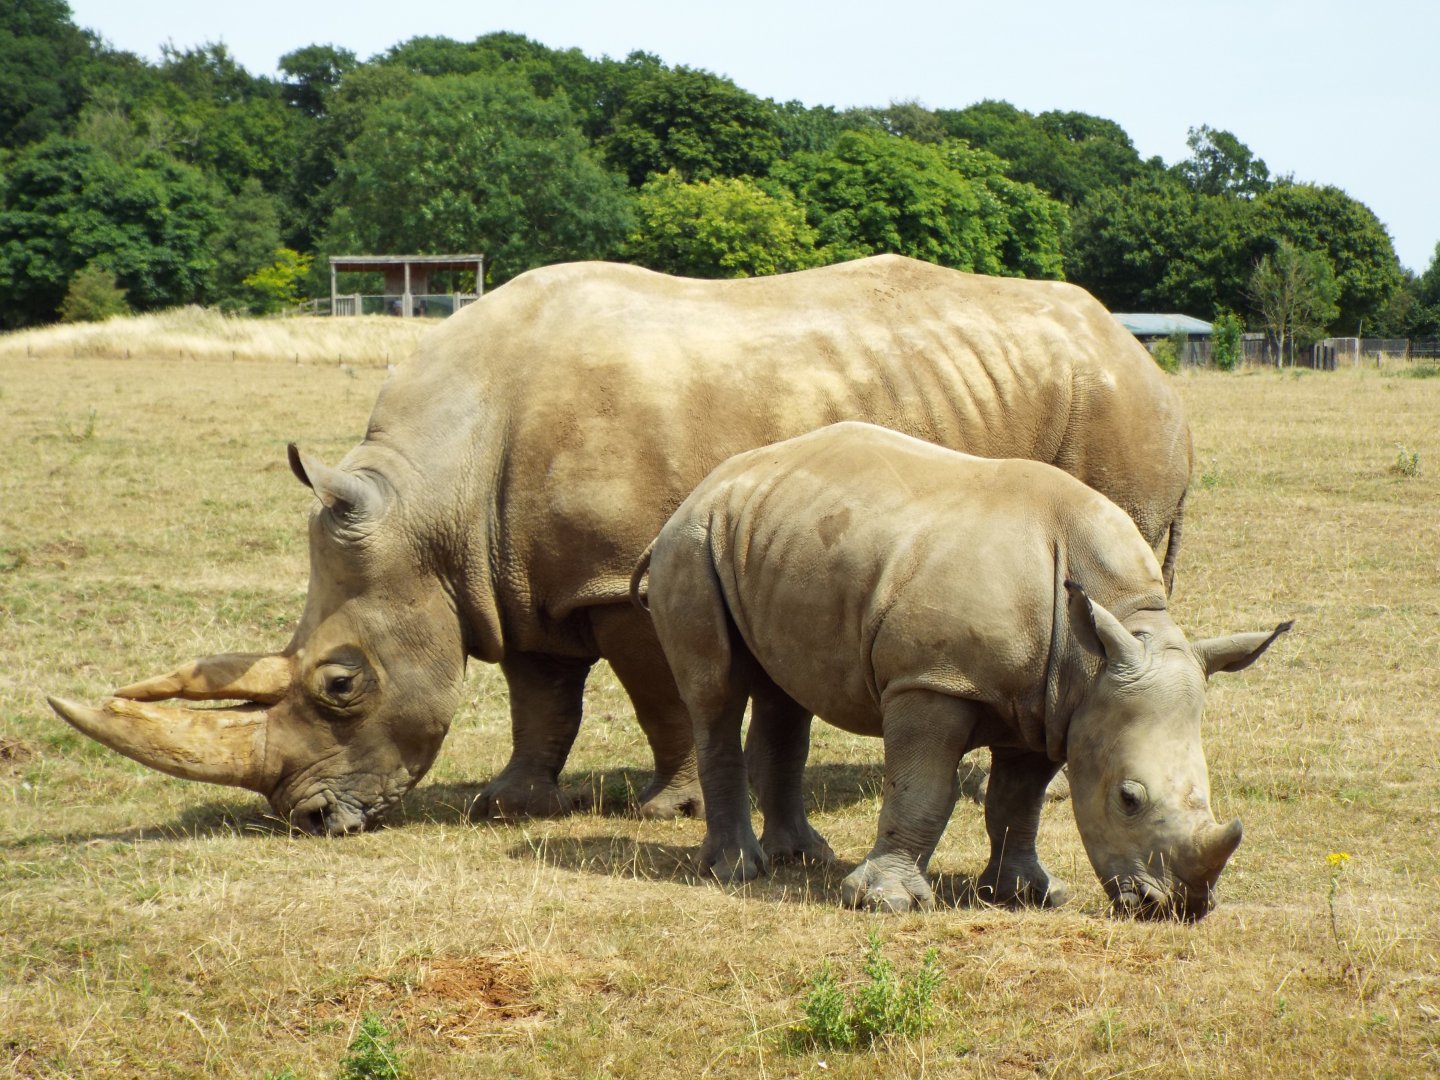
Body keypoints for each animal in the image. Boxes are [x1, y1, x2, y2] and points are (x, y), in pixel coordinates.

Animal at [48, 255, 1193, 835]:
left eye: (340, 684)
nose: (307, 815)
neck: (430, 498)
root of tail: (1138, 347)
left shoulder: (621, 576)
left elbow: (658, 698)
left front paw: (671, 809)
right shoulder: (512, 577)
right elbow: (542, 697)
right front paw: (510, 804)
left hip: (1117, 411)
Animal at [634, 423, 1289, 919]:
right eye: (1128, 799)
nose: (1177, 908)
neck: (1106, 639)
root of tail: (705, 486)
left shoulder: (1053, 701)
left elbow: (1018, 799)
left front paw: (1028, 894)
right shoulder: (935, 679)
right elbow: (922, 789)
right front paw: (885, 903)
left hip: (771, 537)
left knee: (786, 689)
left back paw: (803, 857)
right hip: (693, 542)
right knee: (716, 693)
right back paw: (738, 871)